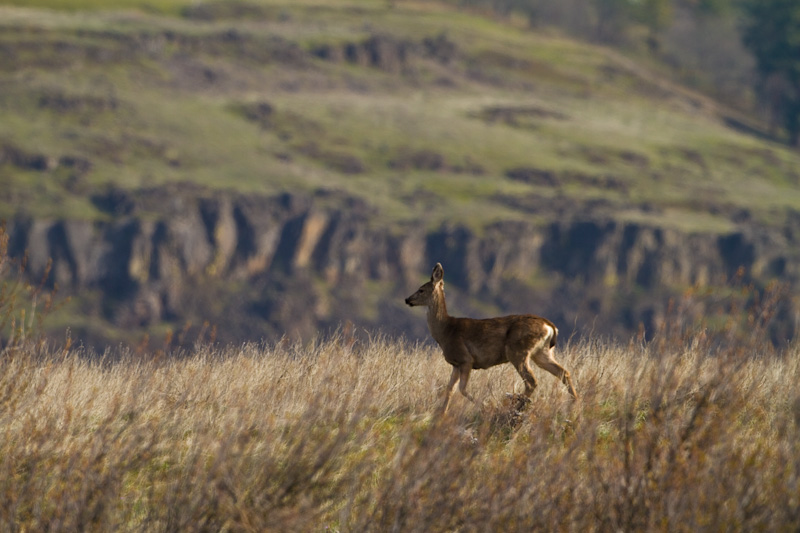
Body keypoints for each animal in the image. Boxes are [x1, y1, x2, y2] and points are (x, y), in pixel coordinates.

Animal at [404, 262, 580, 416]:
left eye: (421, 289)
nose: (407, 299)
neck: (446, 330)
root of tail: (549, 326)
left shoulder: (466, 359)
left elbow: (462, 389)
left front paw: (485, 405)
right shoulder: (455, 364)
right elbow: (450, 390)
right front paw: (441, 414)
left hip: (518, 350)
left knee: (532, 381)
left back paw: (516, 407)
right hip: (542, 352)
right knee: (564, 373)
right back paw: (574, 402)